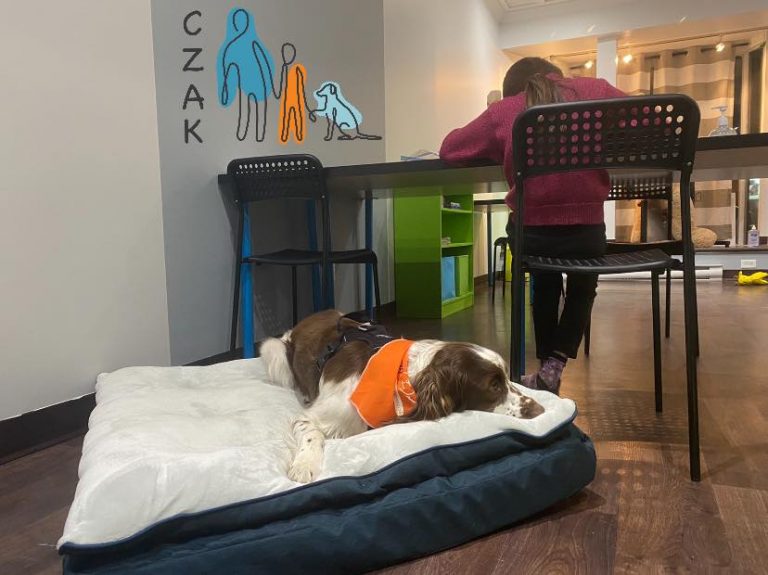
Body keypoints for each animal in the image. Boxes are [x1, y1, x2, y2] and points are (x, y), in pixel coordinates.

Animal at [260, 309, 545, 483]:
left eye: (507, 377)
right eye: (493, 386)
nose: (540, 411)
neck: (404, 379)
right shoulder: (313, 416)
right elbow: (312, 434)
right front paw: (304, 466)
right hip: (274, 353)